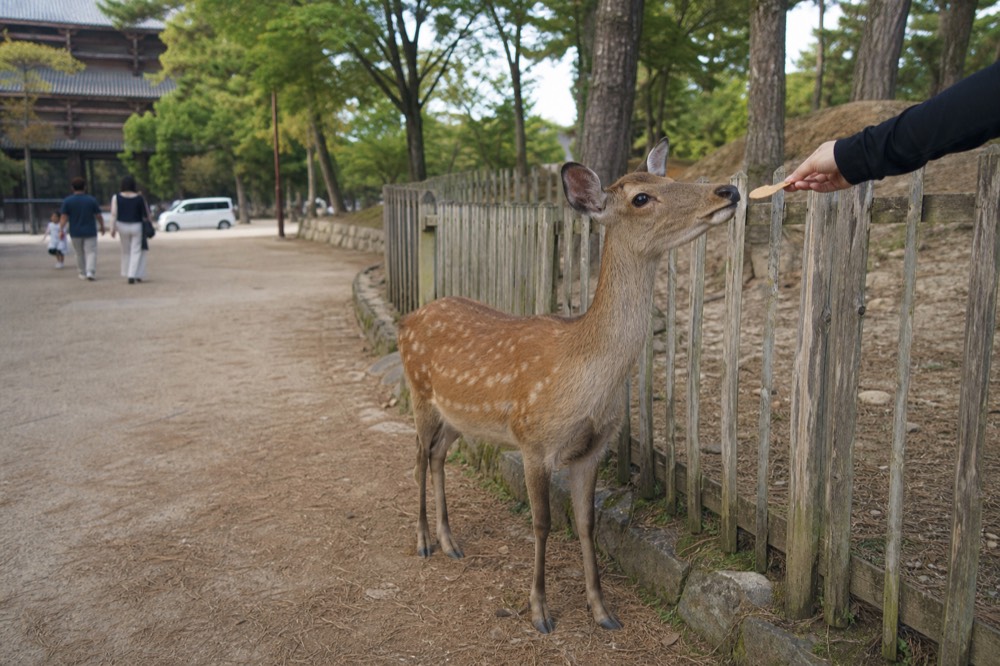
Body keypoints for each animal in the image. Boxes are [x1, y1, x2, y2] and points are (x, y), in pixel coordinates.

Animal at [397, 138, 740, 633]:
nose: (728, 191)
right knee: (419, 458)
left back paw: (450, 541)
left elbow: (586, 524)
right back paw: (424, 540)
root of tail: (406, 320)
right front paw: (540, 611)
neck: (584, 377)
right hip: (419, 392)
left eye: (668, 179)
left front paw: (602, 610)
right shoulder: (533, 441)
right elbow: (542, 523)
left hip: (457, 415)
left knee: (439, 455)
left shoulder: (593, 448)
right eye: (641, 197)